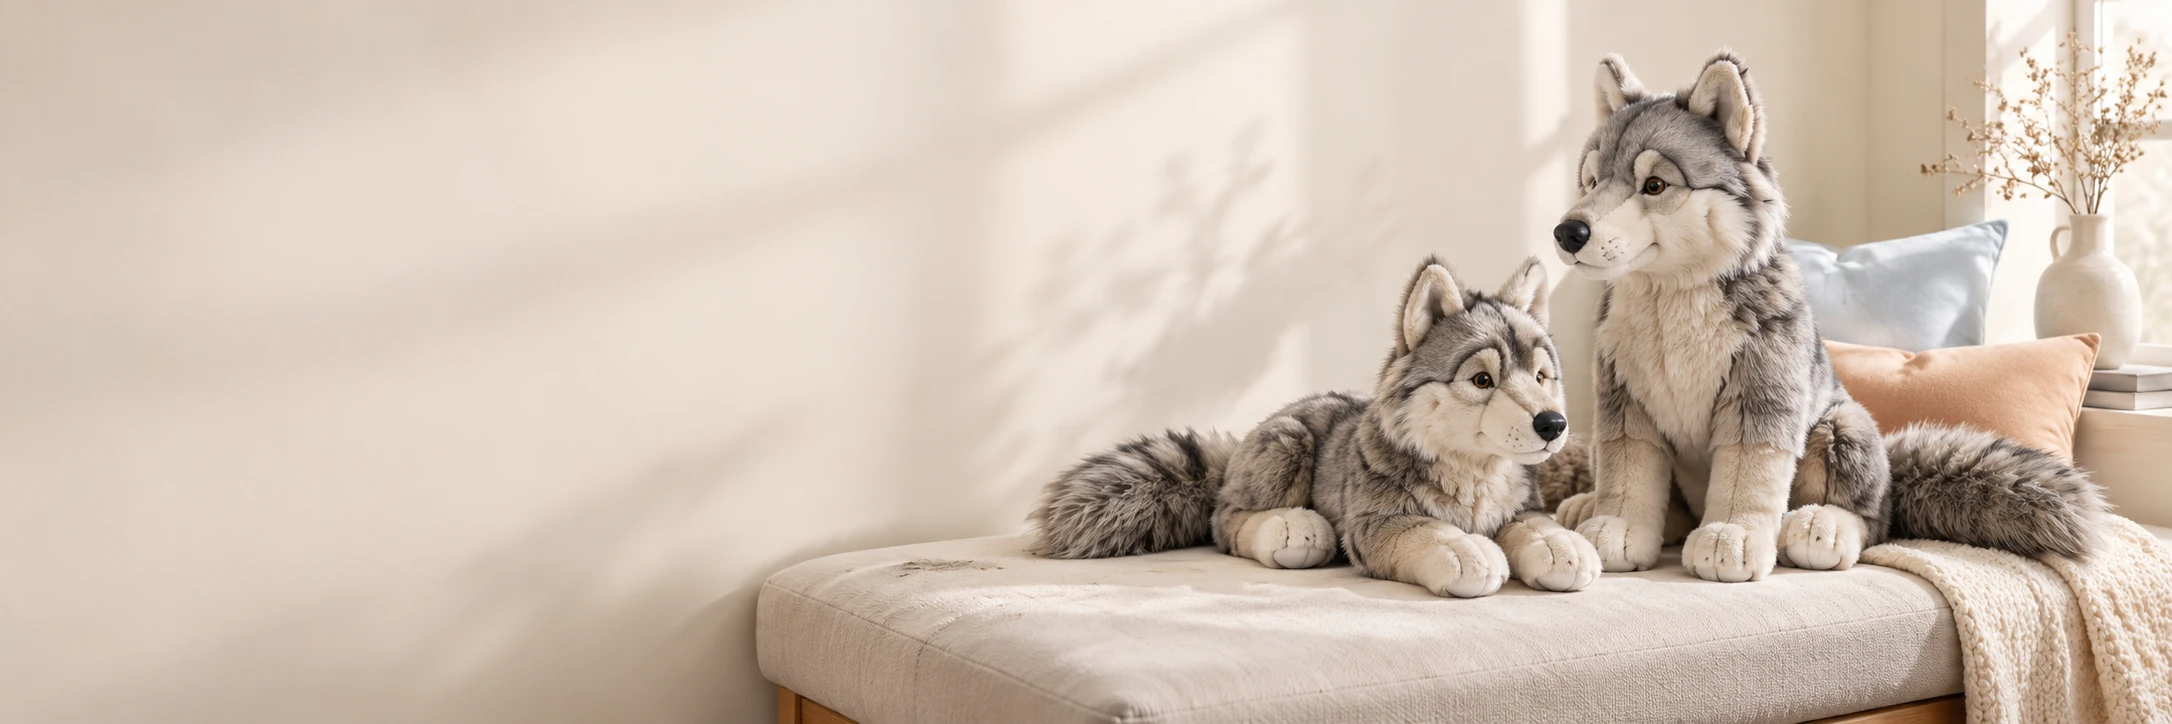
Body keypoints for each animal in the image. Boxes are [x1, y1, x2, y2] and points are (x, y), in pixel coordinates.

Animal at [1029, 257, 1602, 597]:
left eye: (1542, 377)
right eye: (1482, 379)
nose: (1553, 424)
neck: (1472, 472)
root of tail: (1235, 453)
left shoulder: (1522, 505)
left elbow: (1535, 524)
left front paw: (1561, 546)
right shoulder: (1375, 524)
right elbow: (1428, 530)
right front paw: (1465, 549)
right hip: (1287, 440)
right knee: (1226, 520)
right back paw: (1291, 527)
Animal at [1550, 51, 2105, 583]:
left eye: (1655, 185)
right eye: (1591, 181)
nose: (1568, 232)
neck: (1671, 298)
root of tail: (1893, 469)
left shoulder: (1762, 394)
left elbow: (1749, 475)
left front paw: (1732, 535)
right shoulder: (1625, 403)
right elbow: (1629, 474)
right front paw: (1618, 525)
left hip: (1839, 425)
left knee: (1874, 519)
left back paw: (1825, 525)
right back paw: (1588, 507)